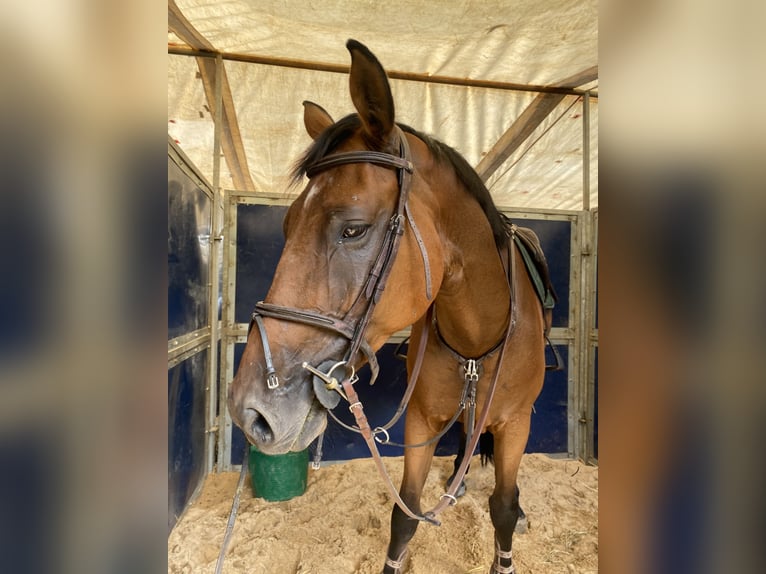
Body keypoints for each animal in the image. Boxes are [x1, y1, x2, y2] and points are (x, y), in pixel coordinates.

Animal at [228, 39, 554, 574]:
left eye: (353, 228)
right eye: (287, 224)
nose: (248, 410)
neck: (477, 336)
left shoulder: (516, 423)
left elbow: (503, 509)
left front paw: (511, 522)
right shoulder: (421, 420)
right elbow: (406, 515)